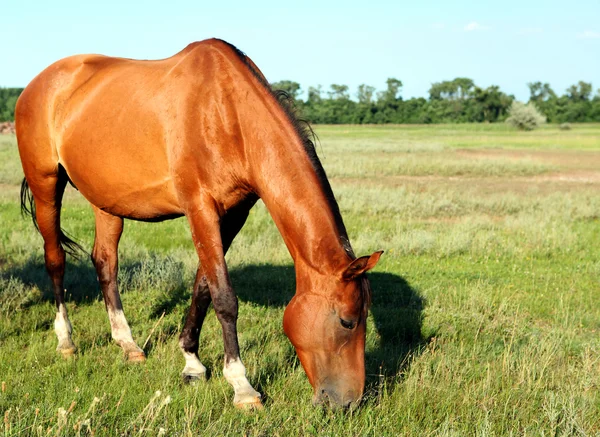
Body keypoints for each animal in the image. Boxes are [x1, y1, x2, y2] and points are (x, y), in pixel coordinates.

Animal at [15, 38, 384, 408]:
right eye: (347, 322)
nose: (348, 401)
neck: (226, 113)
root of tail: (37, 84)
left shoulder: (234, 214)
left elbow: (203, 287)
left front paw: (192, 363)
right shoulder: (200, 208)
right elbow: (224, 297)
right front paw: (241, 386)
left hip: (105, 200)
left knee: (105, 262)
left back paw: (128, 345)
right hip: (46, 184)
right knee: (55, 259)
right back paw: (66, 341)